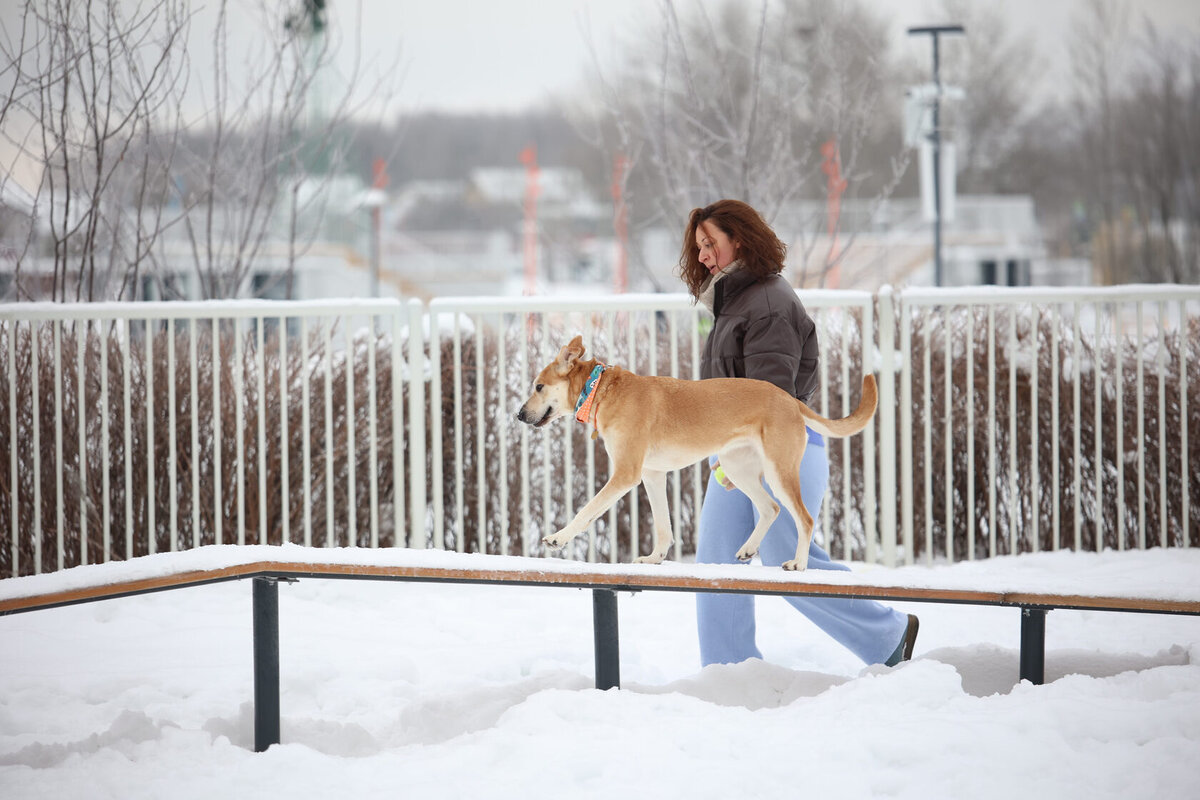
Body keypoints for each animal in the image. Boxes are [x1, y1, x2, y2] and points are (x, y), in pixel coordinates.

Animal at [511, 335, 878, 568]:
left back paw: (799, 564)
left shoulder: (626, 474)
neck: (600, 389)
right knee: (770, 508)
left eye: (538, 386)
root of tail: (790, 400)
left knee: (804, 518)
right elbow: (663, 526)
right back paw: (748, 549)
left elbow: (586, 511)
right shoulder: (652, 475)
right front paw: (655, 559)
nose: (519, 415)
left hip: (779, 471)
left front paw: (558, 538)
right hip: (737, 468)